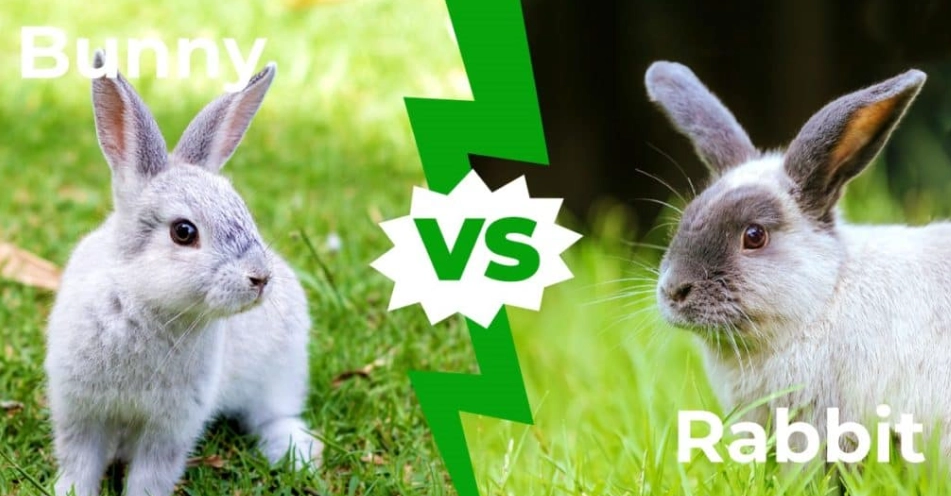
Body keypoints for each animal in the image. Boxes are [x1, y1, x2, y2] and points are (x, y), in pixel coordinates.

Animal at [44, 50, 323, 496]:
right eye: (184, 232)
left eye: (244, 211)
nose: (260, 278)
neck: (143, 302)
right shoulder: (80, 410)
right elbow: (80, 463)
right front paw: (70, 491)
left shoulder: (171, 427)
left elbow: (151, 475)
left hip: (282, 371)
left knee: (274, 415)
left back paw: (297, 453)